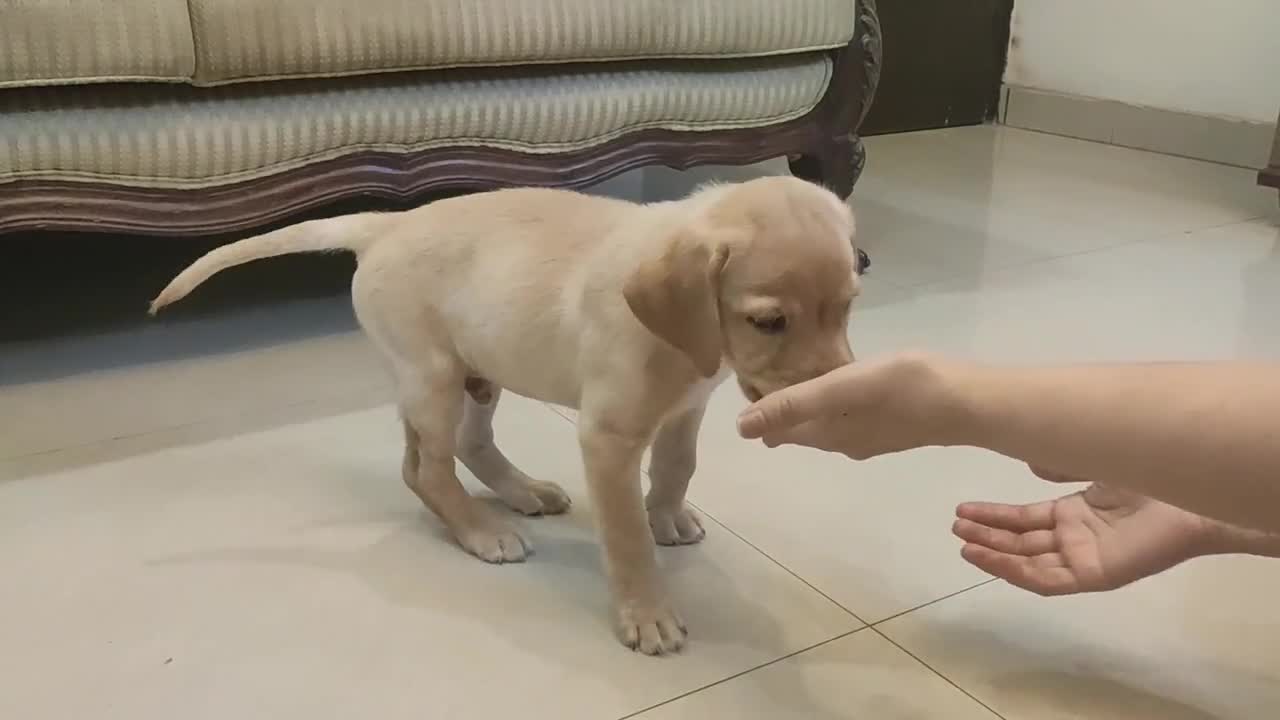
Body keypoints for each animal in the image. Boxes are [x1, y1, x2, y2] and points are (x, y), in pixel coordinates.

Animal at [149, 176, 860, 653]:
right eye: (768, 321)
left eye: (849, 304)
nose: (837, 393)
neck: (685, 340)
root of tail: (384, 225)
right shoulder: (607, 436)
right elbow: (626, 537)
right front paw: (646, 613)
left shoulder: (688, 405)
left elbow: (677, 466)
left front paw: (668, 516)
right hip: (432, 377)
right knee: (425, 470)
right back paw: (482, 531)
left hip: (479, 372)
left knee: (462, 448)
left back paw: (525, 492)